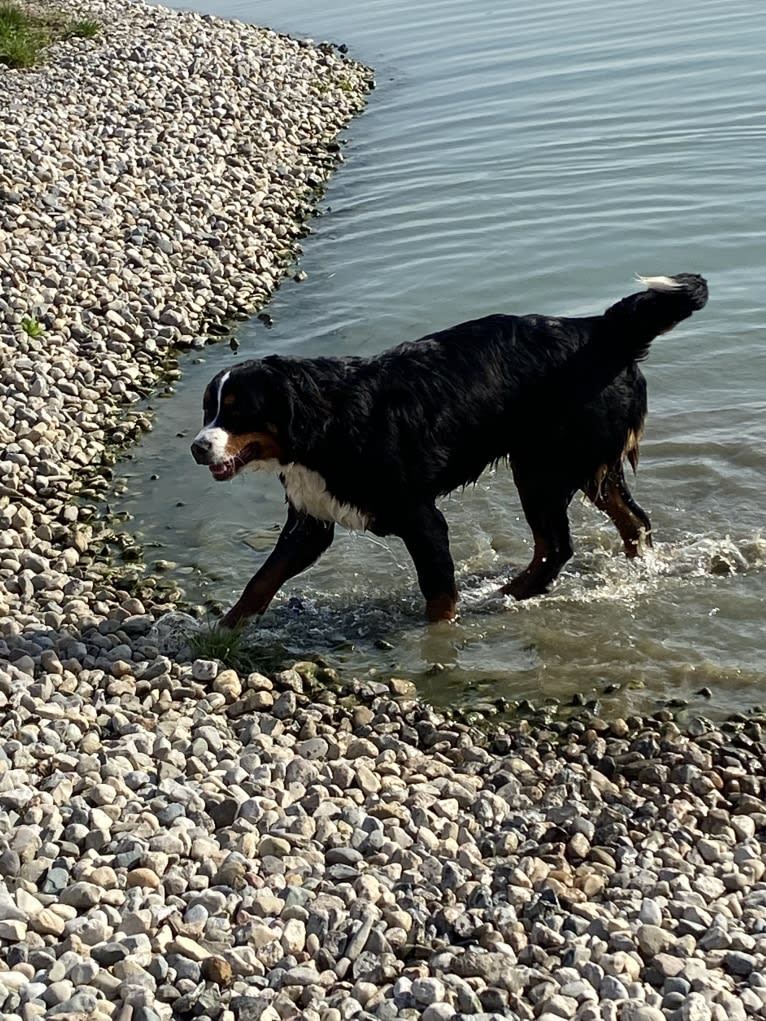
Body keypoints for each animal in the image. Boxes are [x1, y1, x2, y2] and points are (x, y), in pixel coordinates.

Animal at [195, 271, 710, 624]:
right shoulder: (310, 519)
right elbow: (262, 579)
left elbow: (439, 594)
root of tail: (598, 330)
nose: (199, 448)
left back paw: (508, 594)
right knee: (631, 523)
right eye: (208, 410)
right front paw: (221, 633)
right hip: (582, 467)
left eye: (238, 411)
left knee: (557, 545)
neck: (324, 425)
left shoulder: (420, 518)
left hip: (541, 467)